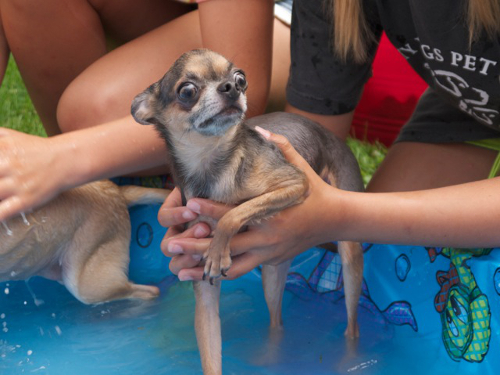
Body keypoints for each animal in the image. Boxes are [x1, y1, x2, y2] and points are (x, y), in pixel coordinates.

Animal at [131, 50, 366, 375]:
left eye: (241, 77)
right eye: (187, 91)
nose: (232, 87)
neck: (211, 167)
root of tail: (335, 138)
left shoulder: (296, 183)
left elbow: (235, 211)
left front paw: (218, 251)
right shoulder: (204, 296)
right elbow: (211, 355)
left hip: (350, 255)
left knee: (352, 325)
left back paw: (350, 357)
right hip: (273, 272)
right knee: (276, 320)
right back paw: (270, 356)